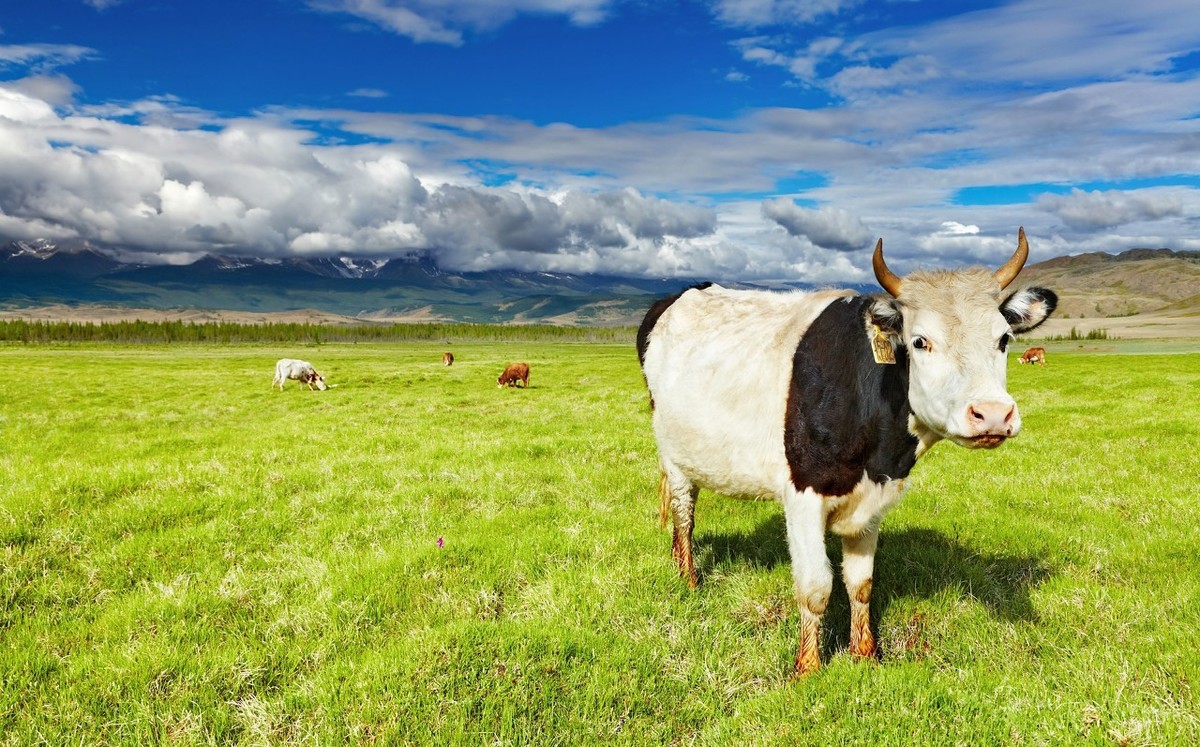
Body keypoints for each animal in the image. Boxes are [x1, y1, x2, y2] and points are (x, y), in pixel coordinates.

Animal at [633, 228, 1056, 677]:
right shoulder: (802, 496)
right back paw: (688, 579)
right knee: (684, 516)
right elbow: (816, 587)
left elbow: (861, 583)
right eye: (920, 341)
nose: (992, 414)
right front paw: (808, 668)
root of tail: (681, 294)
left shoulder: (873, 499)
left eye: (1003, 339)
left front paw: (865, 653)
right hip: (673, 458)